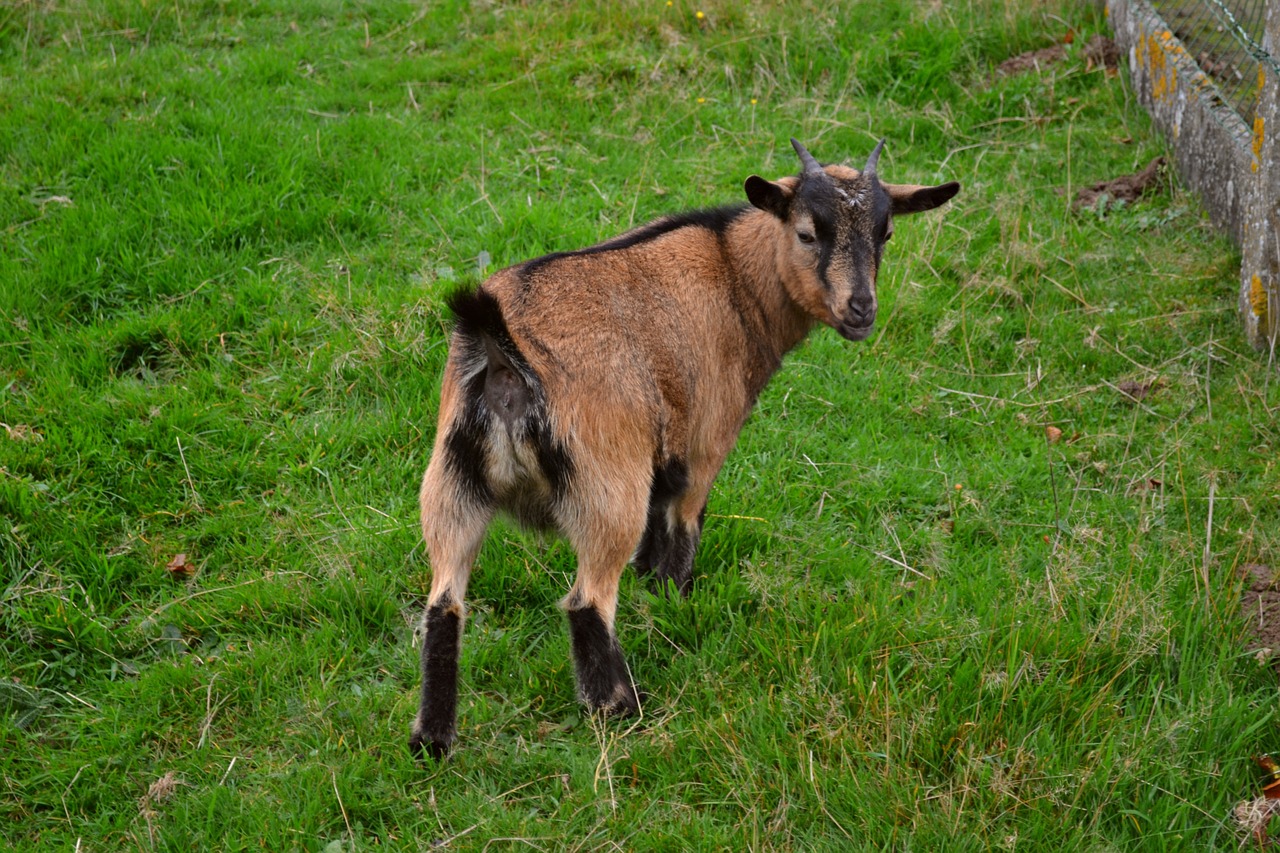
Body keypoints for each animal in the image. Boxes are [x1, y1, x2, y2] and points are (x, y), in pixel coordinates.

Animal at [404, 136, 957, 753]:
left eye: (886, 233)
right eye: (807, 233)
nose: (861, 309)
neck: (735, 277)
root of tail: (501, 352)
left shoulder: (661, 456)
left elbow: (656, 527)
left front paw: (652, 586)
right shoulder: (705, 441)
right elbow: (683, 527)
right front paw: (674, 601)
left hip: (451, 483)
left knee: (444, 604)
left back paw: (433, 739)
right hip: (605, 486)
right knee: (587, 600)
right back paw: (620, 707)